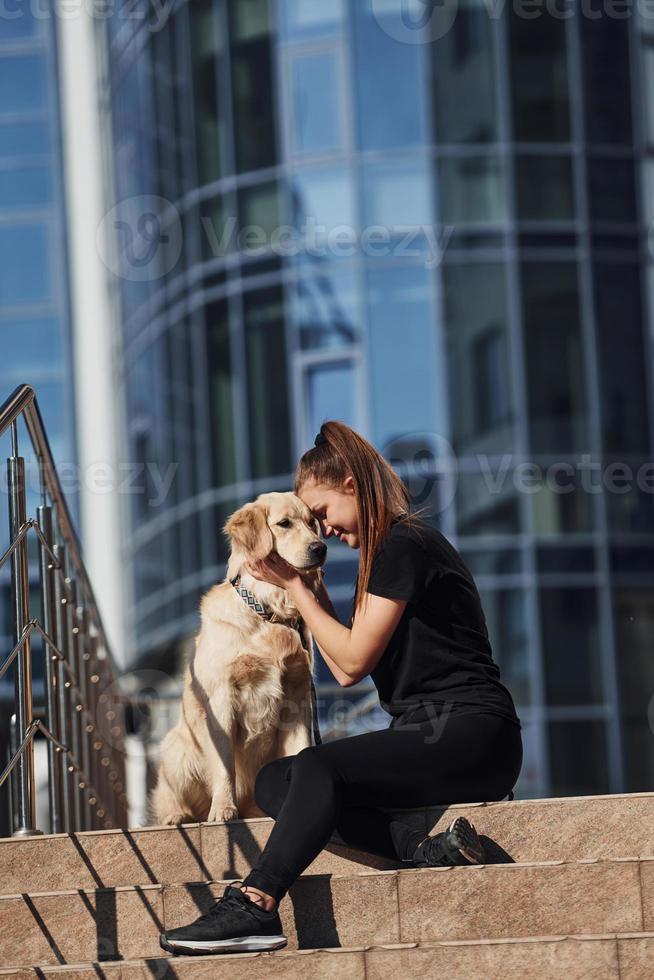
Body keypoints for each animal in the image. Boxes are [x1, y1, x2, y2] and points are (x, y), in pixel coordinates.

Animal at [152, 494, 328, 824]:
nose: (319, 548)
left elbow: (299, 750)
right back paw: (176, 815)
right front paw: (223, 808)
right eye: (284, 523)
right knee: (170, 796)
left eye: (312, 522)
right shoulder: (221, 697)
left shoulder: (298, 697)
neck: (268, 612)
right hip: (176, 749)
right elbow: (225, 766)